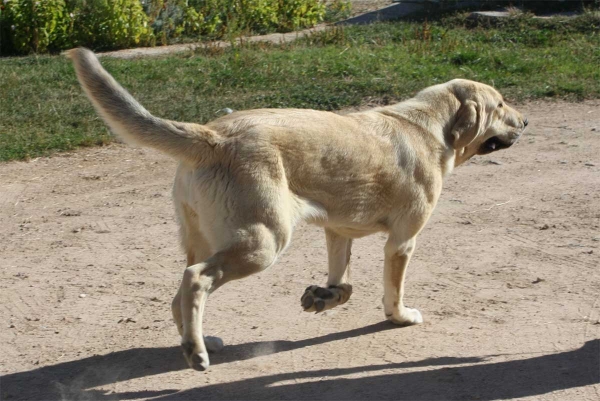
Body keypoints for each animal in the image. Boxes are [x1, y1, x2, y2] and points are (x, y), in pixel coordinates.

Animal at [68, 48, 528, 370]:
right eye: (501, 104)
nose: (525, 123)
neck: (430, 128)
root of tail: (211, 135)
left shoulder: (338, 233)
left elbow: (345, 285)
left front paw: (323, 298)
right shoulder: (402, 242)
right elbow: (392, 292)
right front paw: (400, 316)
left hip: (209, 240)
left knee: (177, 294)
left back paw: (196, 342)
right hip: (262, 243)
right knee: (195, 279)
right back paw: (197, 353)